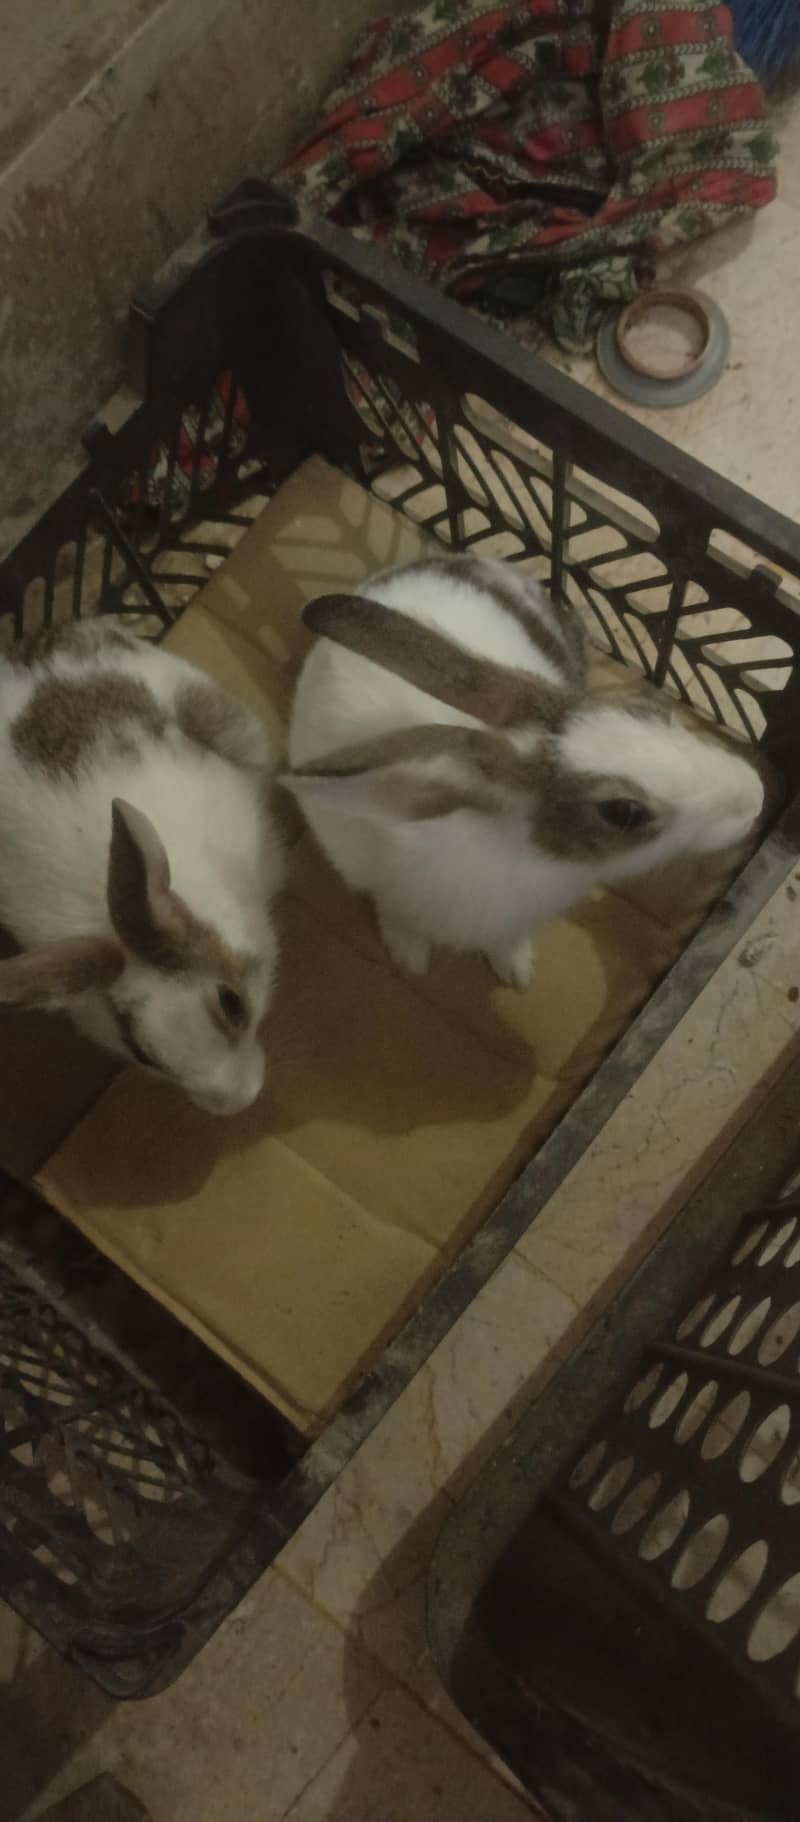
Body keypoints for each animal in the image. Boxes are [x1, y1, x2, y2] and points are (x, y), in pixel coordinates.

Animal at [284, 554, 765, 988]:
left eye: (649, 712)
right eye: (624, 813)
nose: (756, 795)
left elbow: (507, 942)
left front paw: (516, 971)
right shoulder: (387, 889)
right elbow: (400, 920)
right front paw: (410, 959)